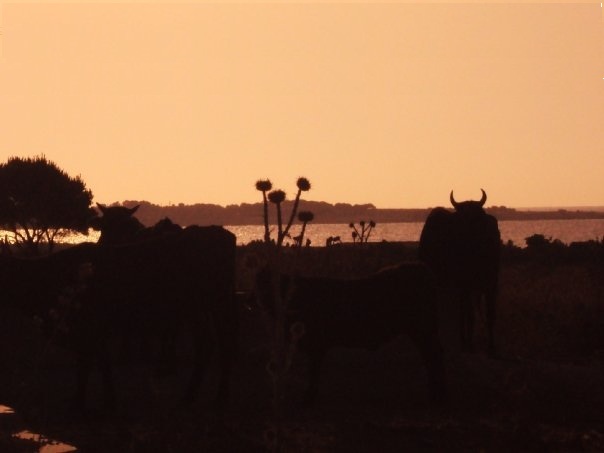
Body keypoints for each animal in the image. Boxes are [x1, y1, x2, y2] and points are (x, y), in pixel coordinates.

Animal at [252, 264, 446, 404]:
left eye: (265, 286)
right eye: (257, 284)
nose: (250, 299)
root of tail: (422, 270)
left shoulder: (316, 345)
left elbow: (313, 372)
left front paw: (308, 398)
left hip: (423, 329)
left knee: (433, 356)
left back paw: (437, 395)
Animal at [418, 189, 502, 354]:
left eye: (477, 217)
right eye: (461, 220)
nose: (468, 239)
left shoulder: (491, 283)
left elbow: (490, 314)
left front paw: (491, 347)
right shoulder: (465, 284)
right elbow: (469, 314)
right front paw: (469, 343)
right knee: (462, 310)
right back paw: (463, 339)